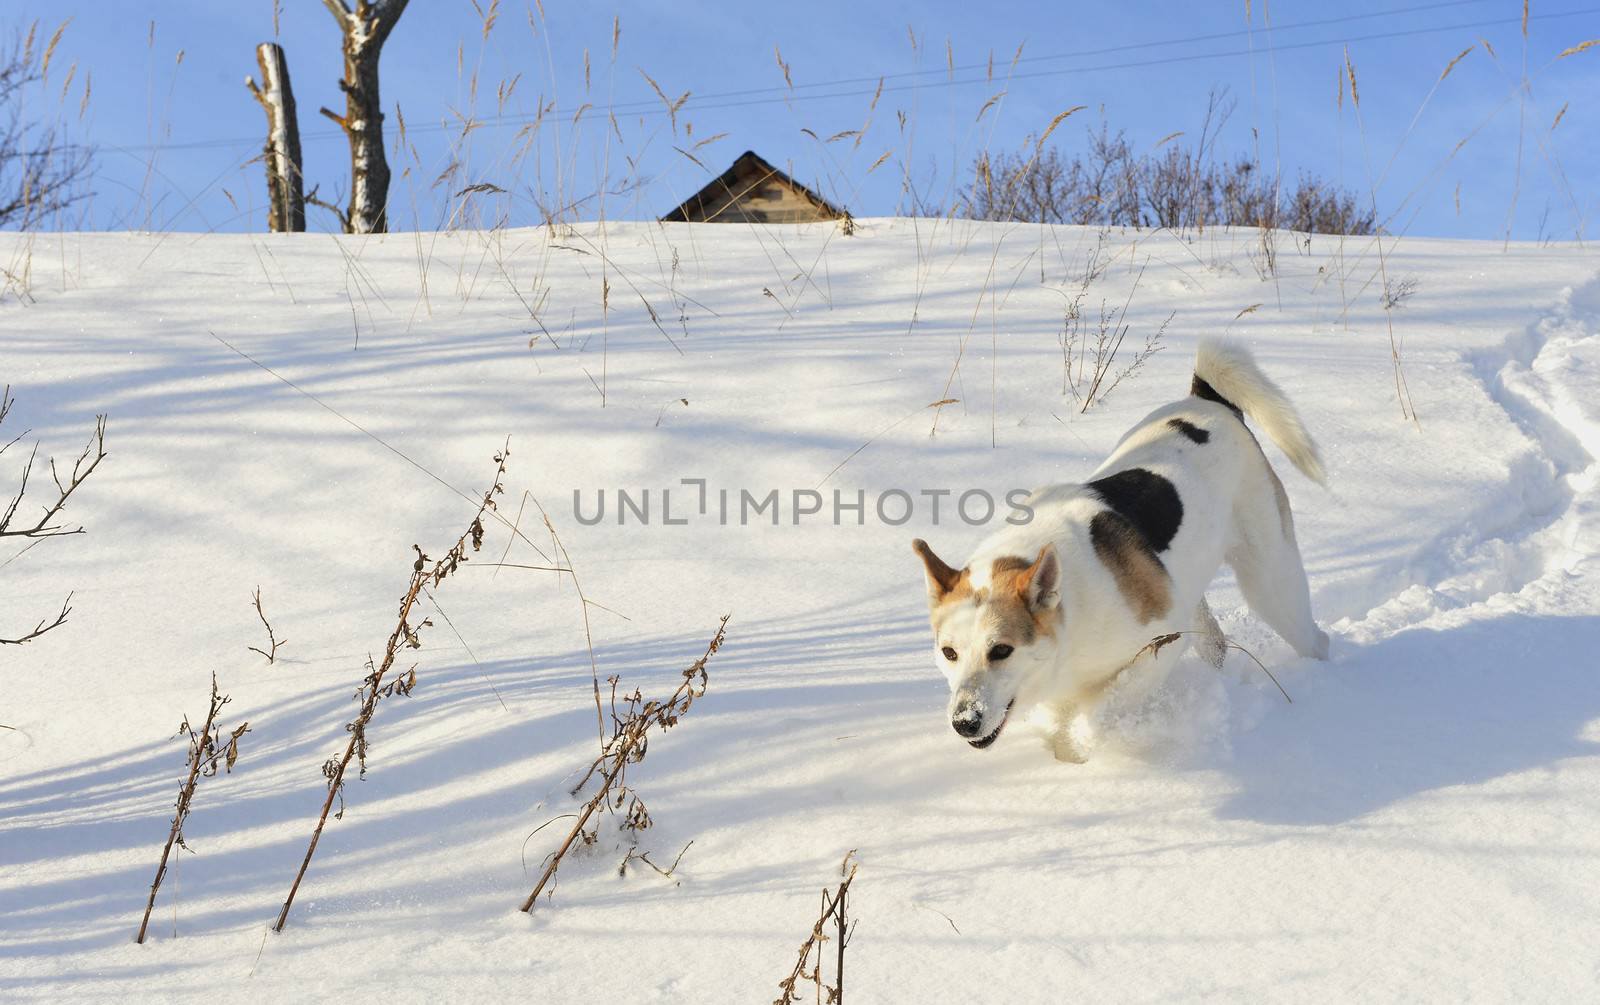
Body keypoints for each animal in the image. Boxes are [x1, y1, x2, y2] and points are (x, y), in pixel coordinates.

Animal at [908, 337, 1331, 761]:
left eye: (1001, 651)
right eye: (949, 653)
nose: (964, 721)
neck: (1071, 607)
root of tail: (1210, 402)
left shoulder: (1161, 644)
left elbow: (1098, 712)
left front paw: (1087, 748)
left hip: (1271, 583)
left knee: (1312, 638)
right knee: (1216, 642)